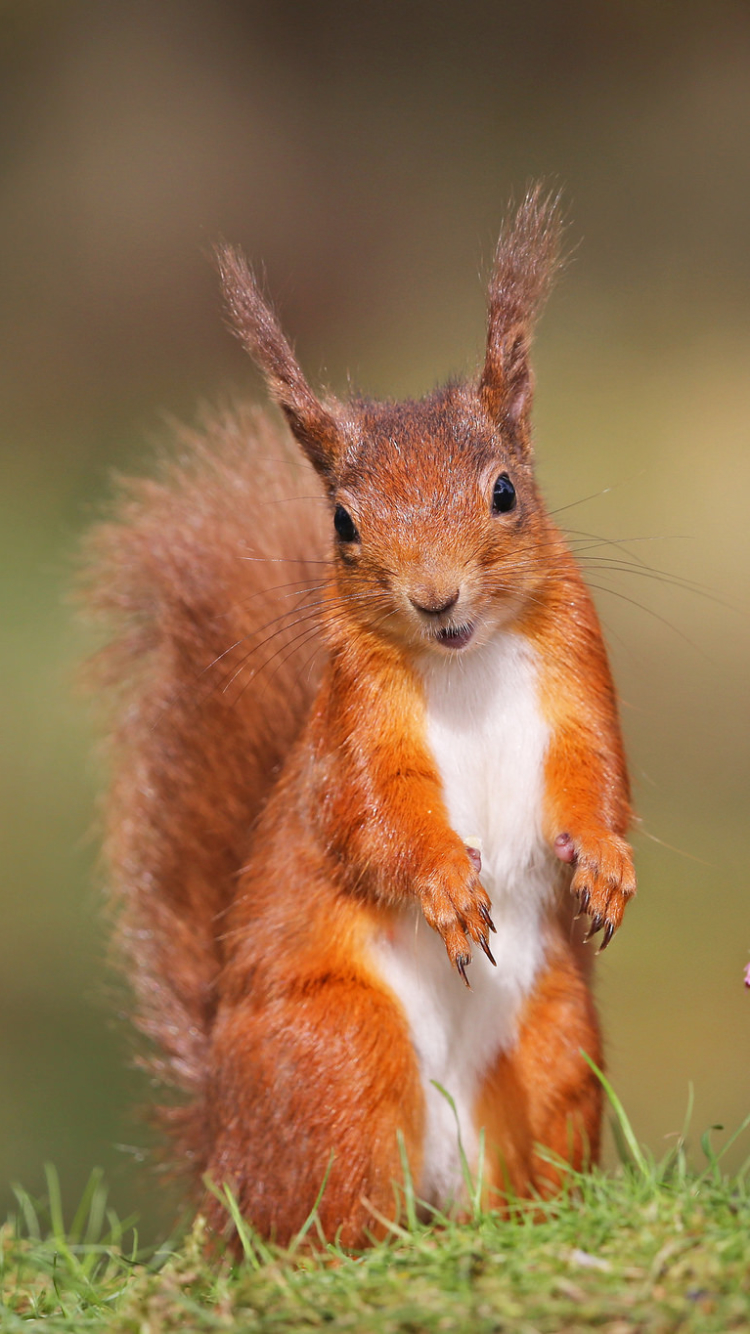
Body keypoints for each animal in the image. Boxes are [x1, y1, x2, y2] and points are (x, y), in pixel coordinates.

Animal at [84, 188, 632, 1248]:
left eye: (505, 491)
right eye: (343, 523)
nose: (435, 597)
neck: (464, 664)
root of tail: (221, 1154)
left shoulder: (577, 674)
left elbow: (595, 776)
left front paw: (606, 866)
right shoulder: (353, 726)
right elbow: (371, 816)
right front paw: (448, 888)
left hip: (554, 1041)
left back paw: (523, 1227)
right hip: (340, 1053)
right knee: (329, 1219)